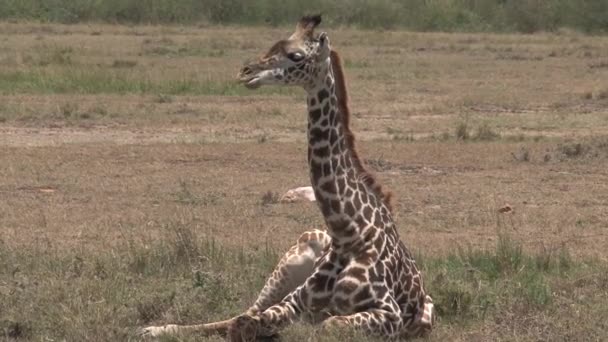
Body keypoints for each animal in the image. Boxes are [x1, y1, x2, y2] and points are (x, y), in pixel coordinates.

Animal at [139, 14, 432, 340]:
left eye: (296, 55)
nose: (246, 72)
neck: (348, 231)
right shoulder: (294, 302)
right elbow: (245, 321)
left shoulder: (389, 314)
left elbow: (327, 324)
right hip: (295, 255)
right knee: (241, 312)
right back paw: (154, 328)